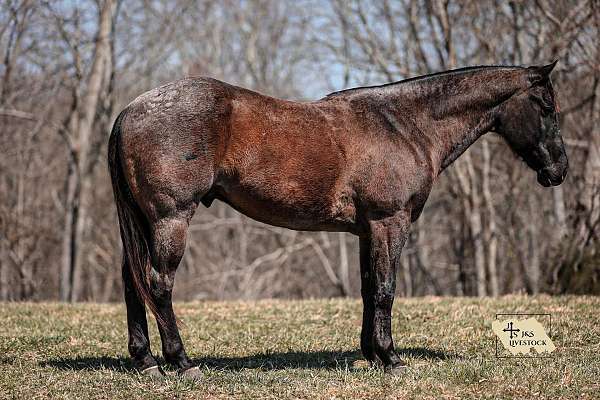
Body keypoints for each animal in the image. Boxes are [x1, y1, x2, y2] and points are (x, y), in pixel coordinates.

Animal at [106, 61, 568, 378]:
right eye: (546, 106)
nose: (559, 170)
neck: (405, 126)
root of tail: (130, 110)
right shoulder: (389, 222)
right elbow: (385, 289)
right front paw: (391, 357)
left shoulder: (367, 231)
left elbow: (368, 289)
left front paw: (370, 354)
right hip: (170, 220)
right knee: (159, 284)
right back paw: (182, 361)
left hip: (146, 224)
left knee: (132, 281)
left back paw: (145, 360)